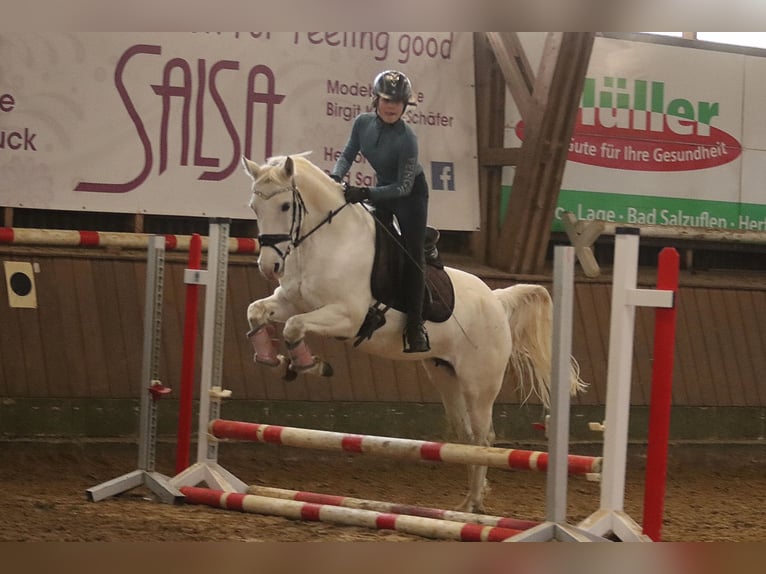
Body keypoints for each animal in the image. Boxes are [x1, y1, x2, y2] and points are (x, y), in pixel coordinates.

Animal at [243, 153, 584, 512]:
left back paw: (474, 504)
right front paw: (273, 359)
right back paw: (465, 504)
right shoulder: (289, 302)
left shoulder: (347, 316)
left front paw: (310, 364)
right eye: (254, 206)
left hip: (479, 385)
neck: (329, 243)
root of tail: (496, 300)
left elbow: (294, 325)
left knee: (482, 438)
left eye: (284, 206)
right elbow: (257, 312)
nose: (269, 267)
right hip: (445, 377)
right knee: (466, 436)